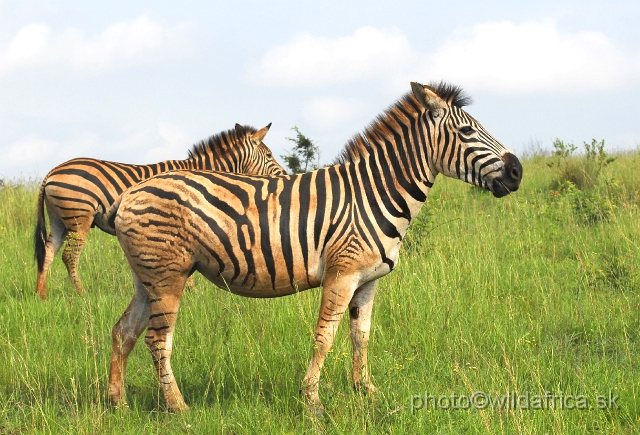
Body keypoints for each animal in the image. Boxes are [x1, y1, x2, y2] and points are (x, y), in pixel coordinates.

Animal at [33, 122, 284, 300]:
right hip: (79, 216)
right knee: (69, 255)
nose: (284, 174)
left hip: (59, 219)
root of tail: (52, 172)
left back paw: (41, 295)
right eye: (269, 155)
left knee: (48, 251)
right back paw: (81, 293)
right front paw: (190, 291)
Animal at [107, 82, 524, 416]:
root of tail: (130, 193)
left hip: (147, 276)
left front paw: (366, 391)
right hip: (168, 274)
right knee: (157, 339)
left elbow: (361, 336)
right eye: (468, 130)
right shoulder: (342, 275)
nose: (518, 171)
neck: (374, 193)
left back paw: (118, 403)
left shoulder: (368, 281)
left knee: (124, 330)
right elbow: (325, 338)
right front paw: (312, 401)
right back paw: (178, 407)